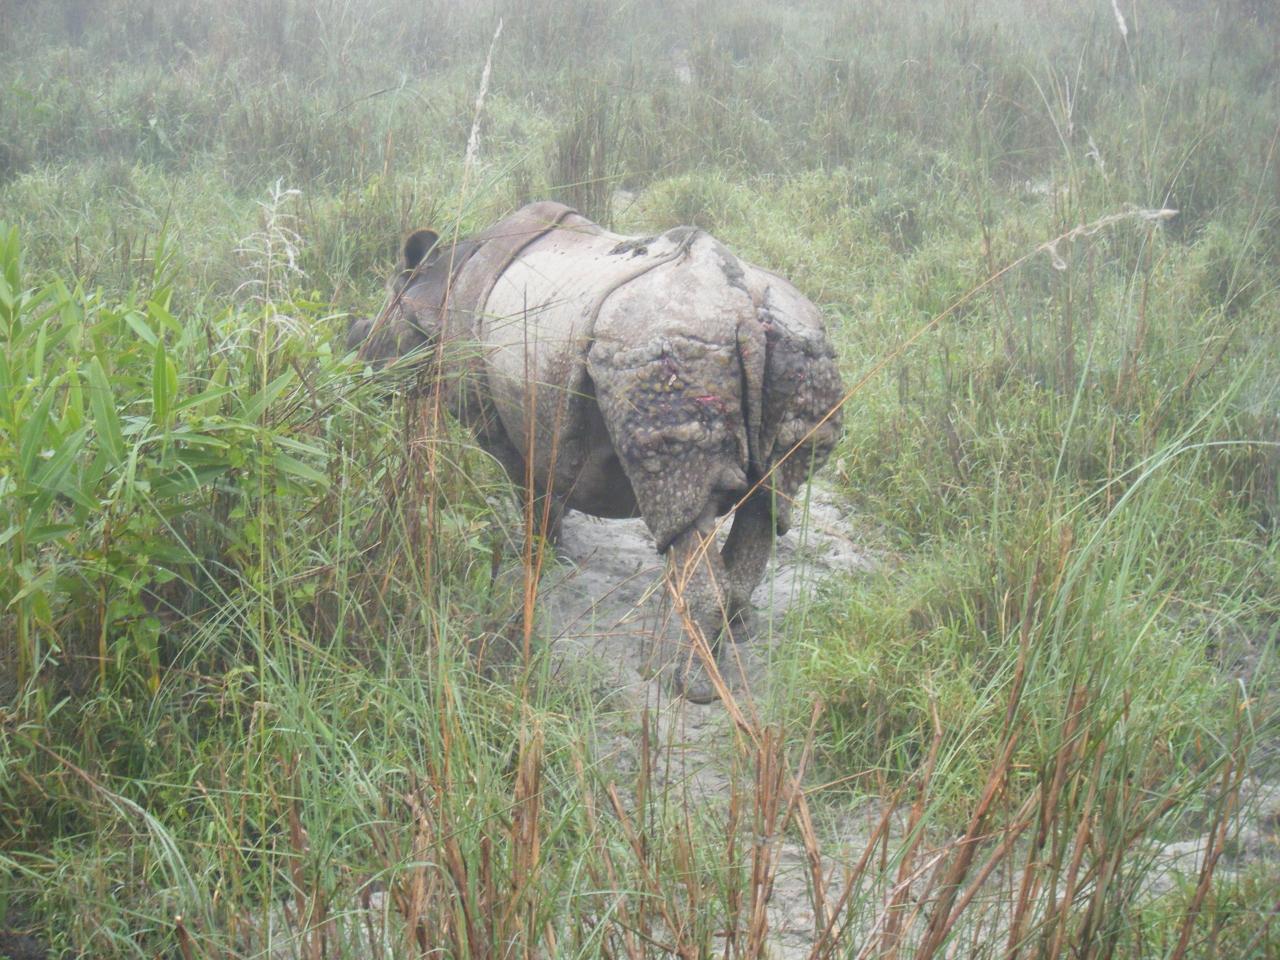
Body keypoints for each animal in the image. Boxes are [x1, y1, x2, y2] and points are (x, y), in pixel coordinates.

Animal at [348, 201, 844, 702]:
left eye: (371, 332)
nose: (358, 366)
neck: (435, 290)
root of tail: (742, 309)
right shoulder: (545, 418)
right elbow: (553, 482)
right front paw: (556, 548)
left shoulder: (495, 420)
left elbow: (528, 487)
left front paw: (537, 556)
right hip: (804, 350)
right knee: (770, 500)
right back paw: (739, 630)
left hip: (669, 355)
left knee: (681, 499)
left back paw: (690, 684)